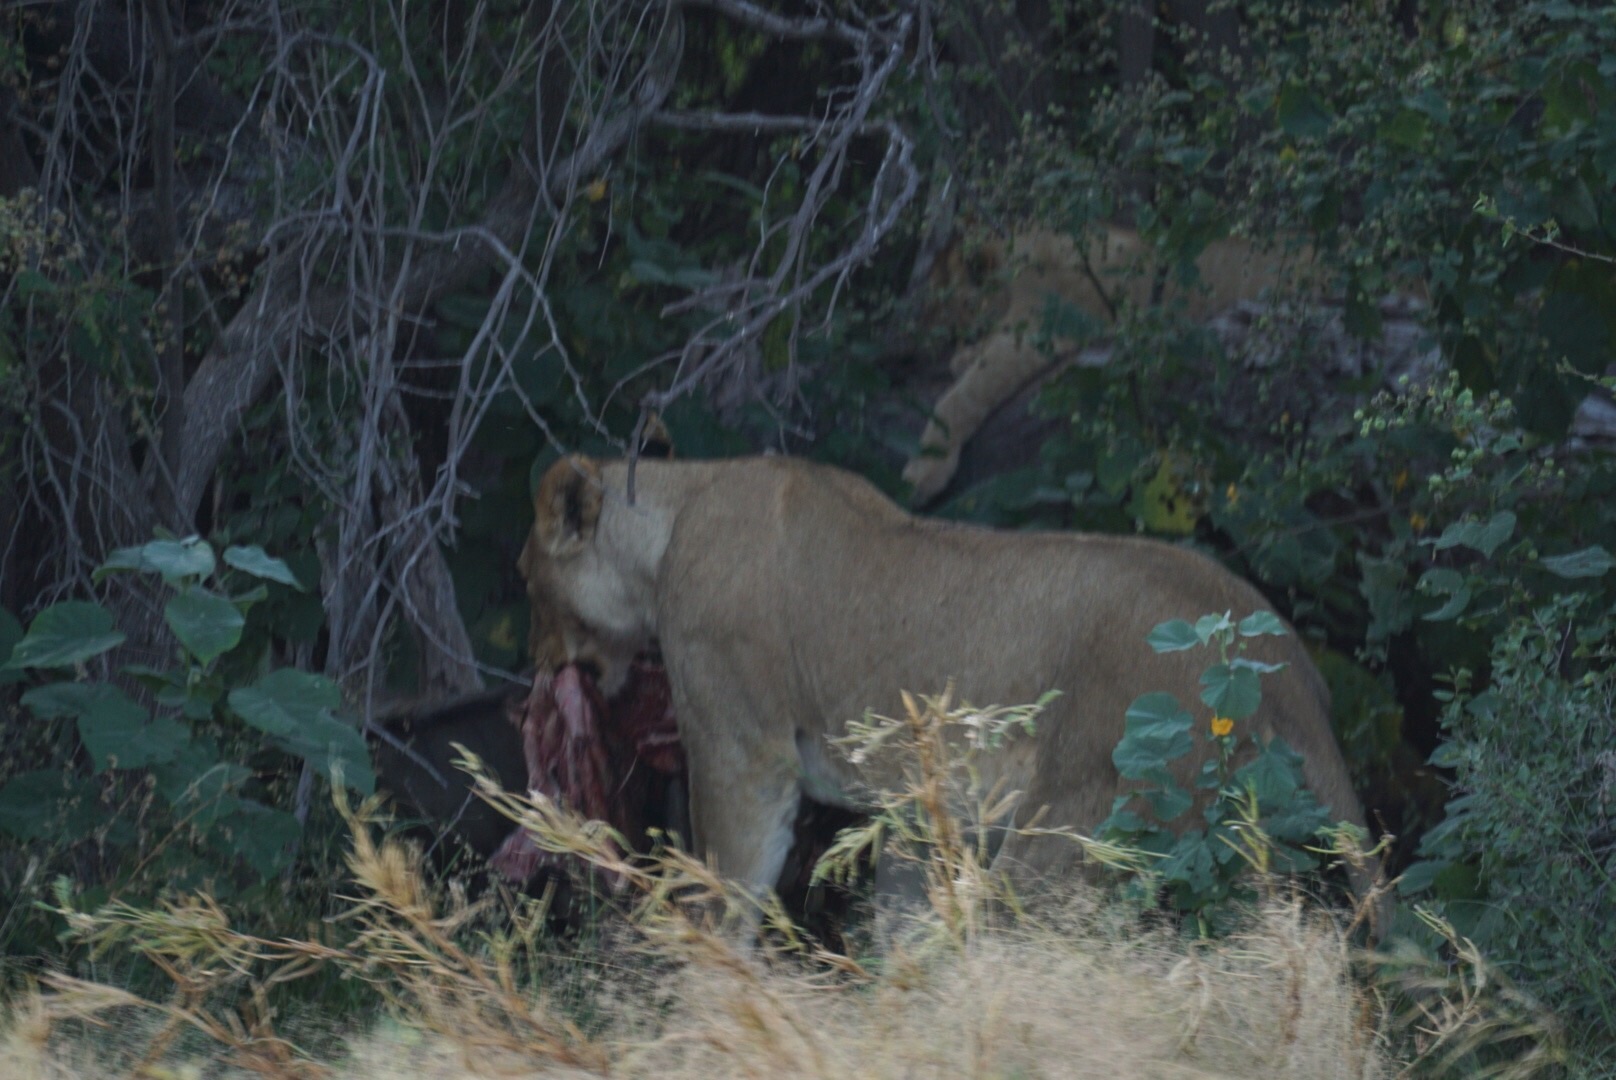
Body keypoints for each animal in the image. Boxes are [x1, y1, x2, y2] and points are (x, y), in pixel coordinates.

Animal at [520, 452, 1376, 918]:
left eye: (528, 580)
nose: (539, 664)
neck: (674, 516)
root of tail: (1278, 654)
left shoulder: (742, 750)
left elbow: (724, 893)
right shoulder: (912, 806)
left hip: (1072, 835)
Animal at [904, 226, 1318, 504]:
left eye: (939, 303)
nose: (916, 330)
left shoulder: (1044, 328)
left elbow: (961, 398)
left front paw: (925, 471)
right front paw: (965, 356)